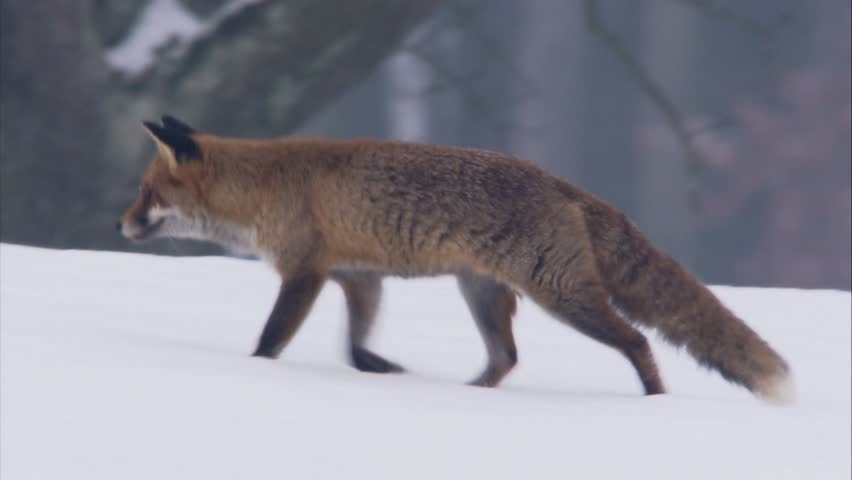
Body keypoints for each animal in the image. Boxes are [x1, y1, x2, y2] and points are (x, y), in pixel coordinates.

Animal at [118, 115, 794, 403]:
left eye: (147, 193)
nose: (119, 224)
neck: (263, 187)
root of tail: (567, 185)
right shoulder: (358, 278)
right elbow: (354, 348)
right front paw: (382, 371)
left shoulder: (304, 273)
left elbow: (270, 341)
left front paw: (257, 371)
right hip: (482, 294)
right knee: (506, 359)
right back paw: (472, 399)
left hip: (563, 295)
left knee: (638, 341)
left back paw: (655, 402)